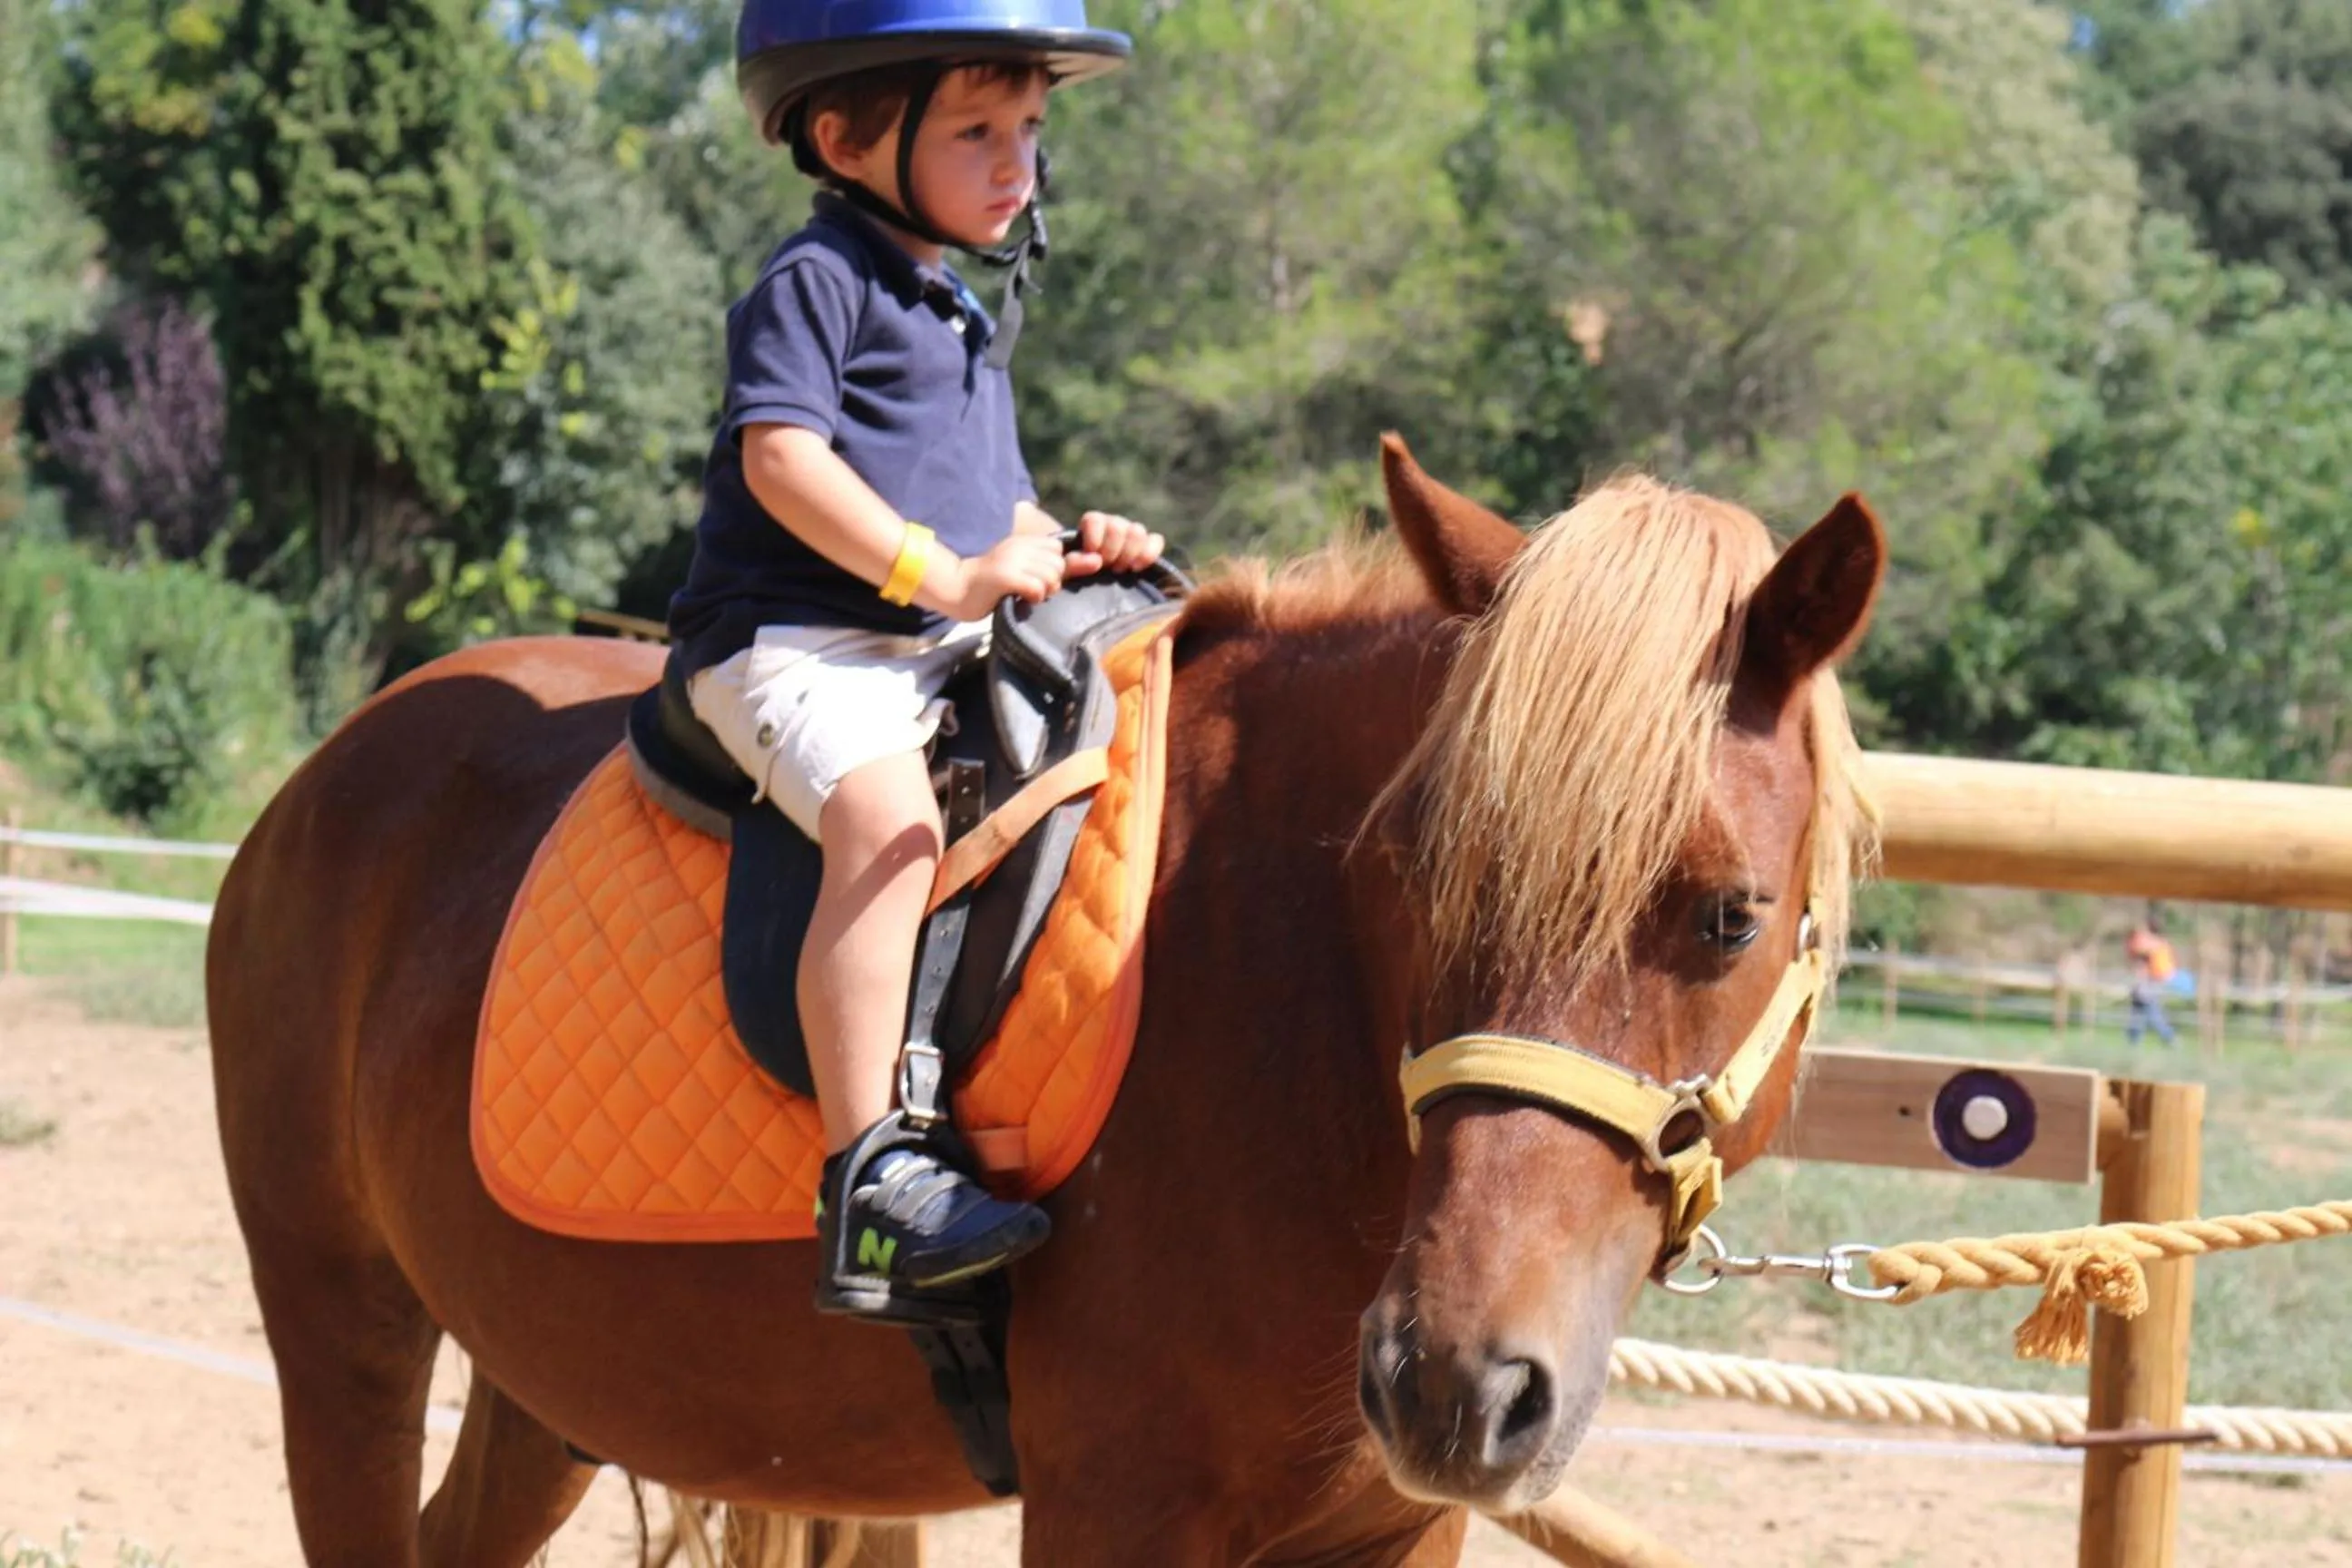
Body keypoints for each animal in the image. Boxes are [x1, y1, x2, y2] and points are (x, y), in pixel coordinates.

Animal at [205, 435, 1882, 1565]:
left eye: (1730, 915)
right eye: (1418, 874)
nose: (1455, 1383)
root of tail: (338, 763)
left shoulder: (1386, 1528)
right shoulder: (1118, 1501)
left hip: (544, 1380)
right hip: (344, 1329)